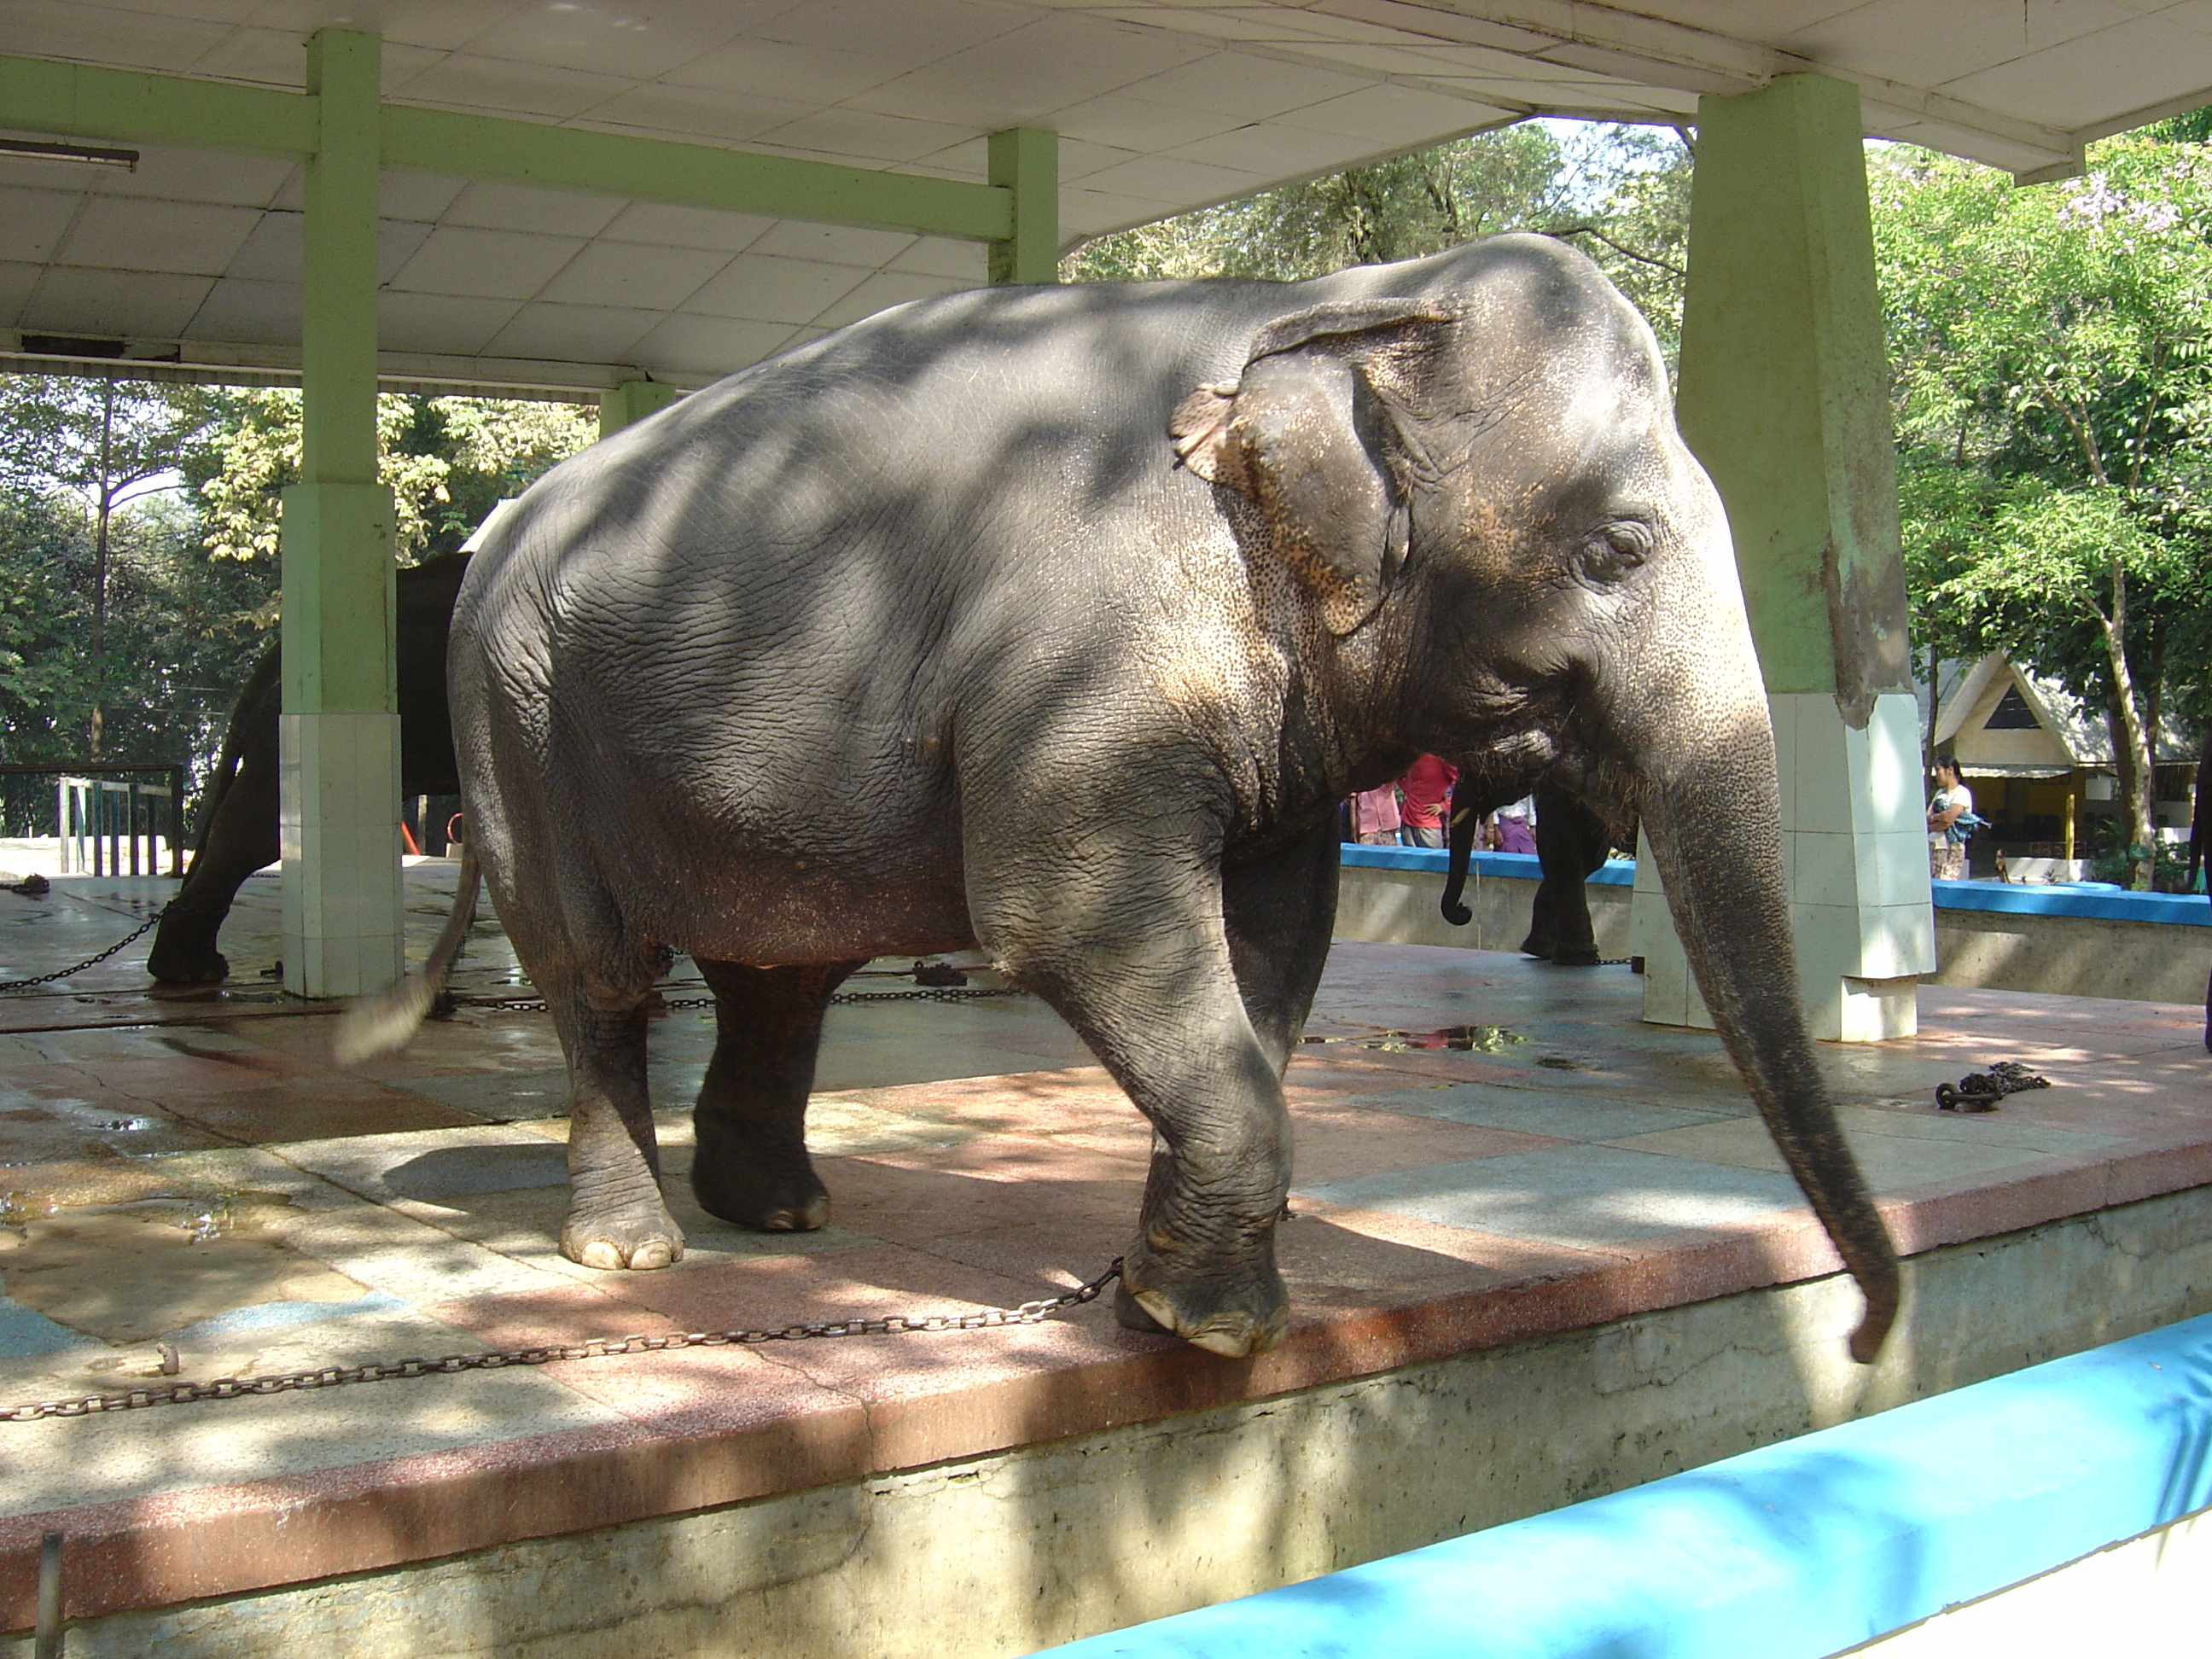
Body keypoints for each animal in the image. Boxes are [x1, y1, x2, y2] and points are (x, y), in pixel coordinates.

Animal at [335, 240, 1893, 1371]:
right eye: (1616, 547)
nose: (1869, 1339)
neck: (1331, 303)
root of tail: (497, 527)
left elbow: (1273, 941)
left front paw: (1158, 1290)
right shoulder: (1079, 640)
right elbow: (1069, 915)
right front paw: (1210, 1329)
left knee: (784, 971)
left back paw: (783, 1211)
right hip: (518, 714)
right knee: (598, 969)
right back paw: (630, 1250)